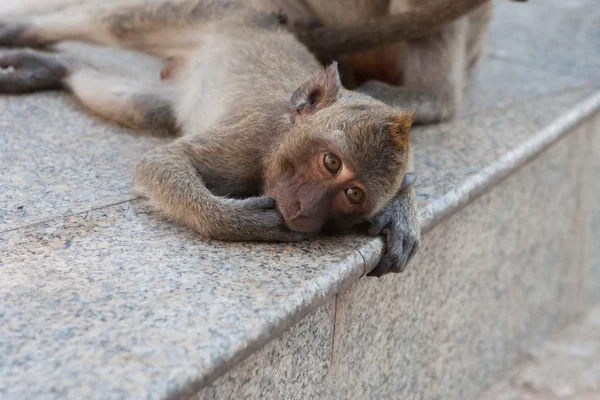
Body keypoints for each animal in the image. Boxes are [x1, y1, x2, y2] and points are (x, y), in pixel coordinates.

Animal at [0, 0, 422, 276]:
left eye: (353, 194)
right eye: (331, 162)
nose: (306, 209)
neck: (279, 138)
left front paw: (401, 211)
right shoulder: (249, 142)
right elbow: (160, 161)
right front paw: (237, 221)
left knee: (146, 107)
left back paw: (54, 68)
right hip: (212, 12)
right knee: (104, 23)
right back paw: (16, 30)